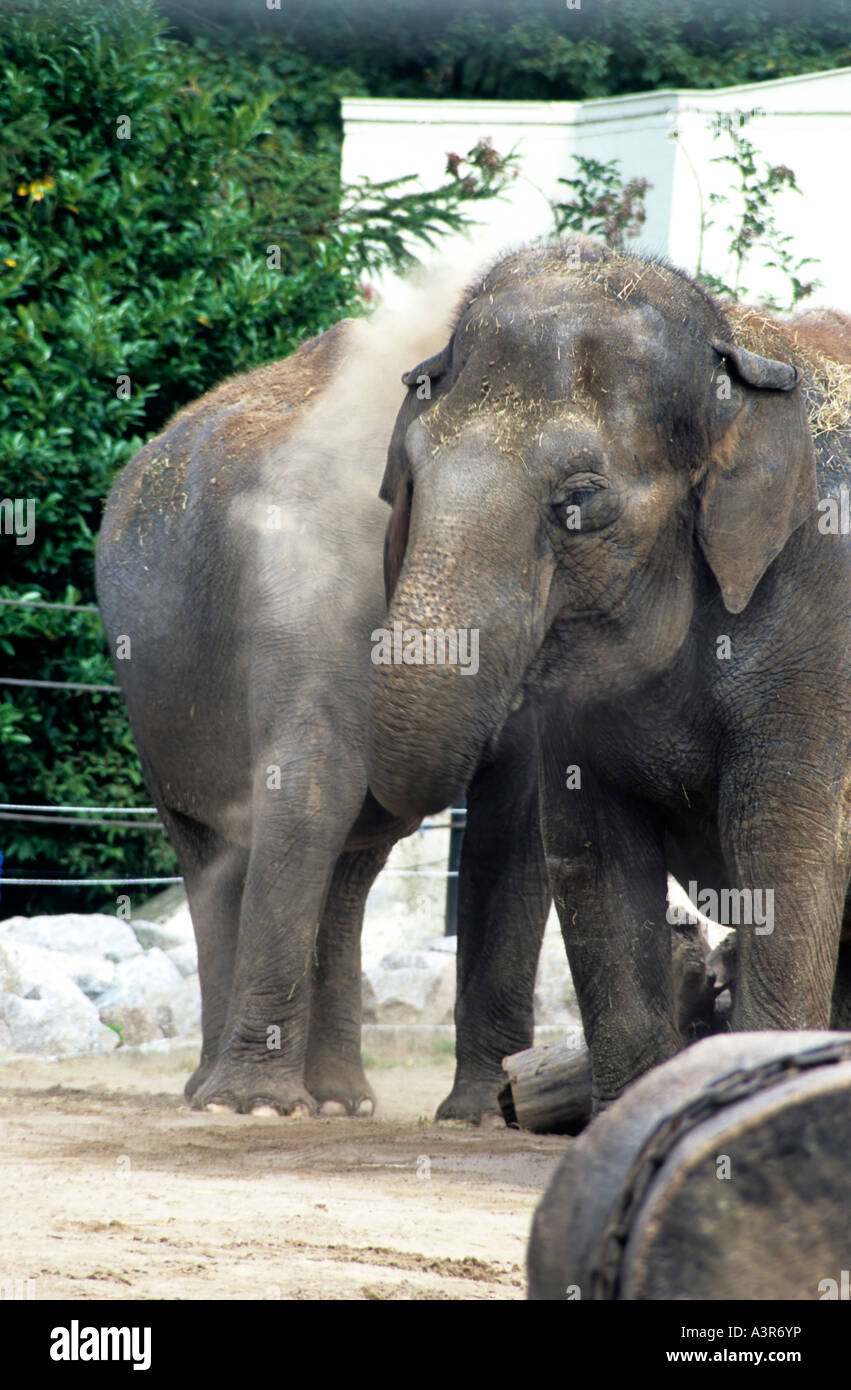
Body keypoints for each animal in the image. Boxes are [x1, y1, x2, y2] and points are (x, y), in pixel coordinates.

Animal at [95, 285, 551, 1120]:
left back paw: (339, 1102)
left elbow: (520, 811)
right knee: (214, 850)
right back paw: (215, 1095)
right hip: (152, 703)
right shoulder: (302, 572)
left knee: (348, 874)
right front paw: (253, 1109)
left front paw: (484, 1111)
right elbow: (310, 788)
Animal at [366, 235, 851, 1114]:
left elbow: (783, 846)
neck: (740, 350)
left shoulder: (822, 625)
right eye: (409, 479)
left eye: (580, 501)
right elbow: (592, 855)